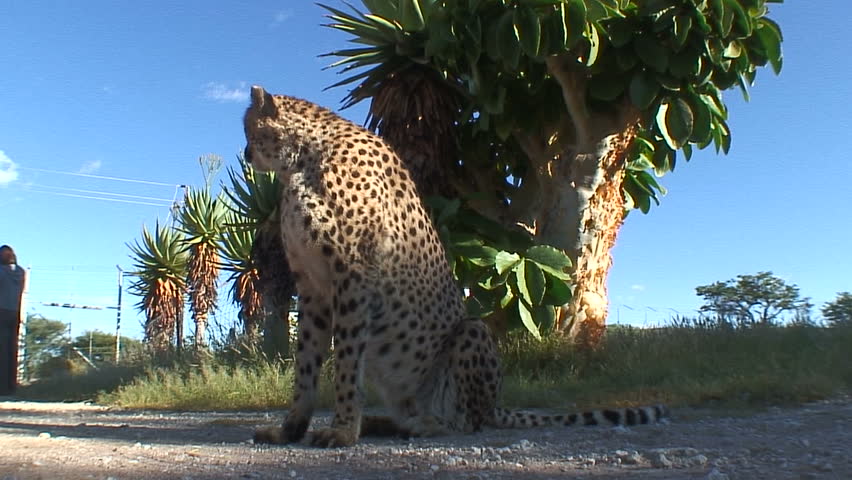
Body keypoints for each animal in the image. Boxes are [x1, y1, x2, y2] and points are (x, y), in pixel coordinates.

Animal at [242, 85, 667, 448]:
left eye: (248, 128)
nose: (245, 154)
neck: (302, 159)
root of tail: (494, 406)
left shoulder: (352, 277)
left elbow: (346, 363)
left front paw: (344, 431)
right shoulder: (313, 286)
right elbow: (306, 363)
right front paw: (291, 429)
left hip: (472, 332)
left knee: (467, 423)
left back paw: (424, 426)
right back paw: (385, 422)